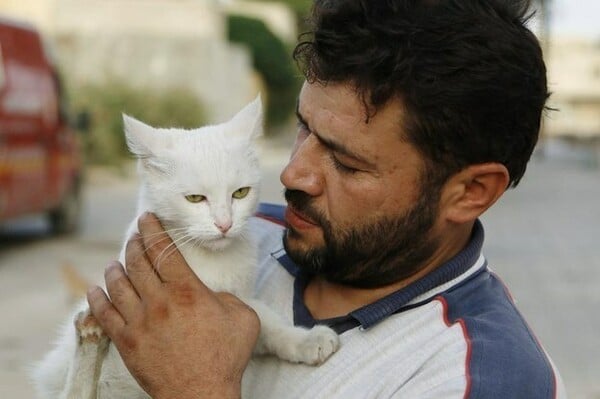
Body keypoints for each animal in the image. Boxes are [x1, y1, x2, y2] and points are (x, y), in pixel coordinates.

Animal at [32, 97, 340, 399]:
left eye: (240, 193)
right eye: (195, 198)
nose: (225, 224)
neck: (208, 260)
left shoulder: (238, 302)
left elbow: (267, 321)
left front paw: (305, 339)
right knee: (75, 392)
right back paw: (89, 336)